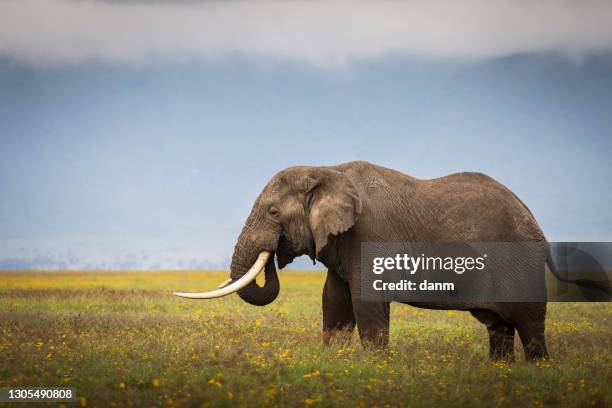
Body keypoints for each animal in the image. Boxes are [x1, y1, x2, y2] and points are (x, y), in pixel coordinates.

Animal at [175, 160, 596, 360]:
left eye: (274, 212)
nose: (277, 253)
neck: (326, 169)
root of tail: (537, 224)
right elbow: (334, 300)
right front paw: (334, 362)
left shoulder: (369, 235)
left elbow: (365, 301)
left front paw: (375, 365)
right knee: (498, 325)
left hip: (518, 262)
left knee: (528, 322)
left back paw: (538, 370)